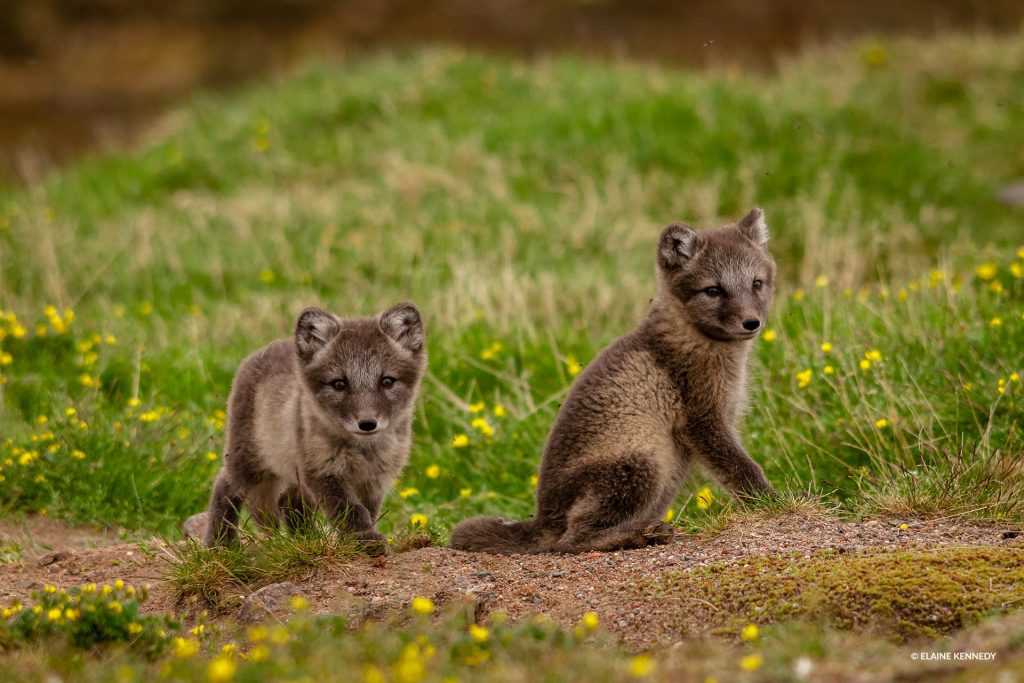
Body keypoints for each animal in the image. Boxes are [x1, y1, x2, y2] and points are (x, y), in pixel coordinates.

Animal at [192, 302, 426, 551]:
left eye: (387, 381)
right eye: (339, 384)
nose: (367, 423)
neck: (363, 452)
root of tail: (266, 349)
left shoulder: (374, 481)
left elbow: (368, 511)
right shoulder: (321, 470)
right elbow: (349, 510)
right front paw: (365, 540)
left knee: (288, 502)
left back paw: (304, 540)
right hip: (249, 461)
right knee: (224, 486)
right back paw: (219, 544)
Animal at [450, 208, 775, 554]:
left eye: (757, 283)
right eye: (713, 290)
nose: (752, 322)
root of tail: (544, 521)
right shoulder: (702, 420)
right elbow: (743, 468)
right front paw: (773, 503)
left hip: (666, 475)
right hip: (641, 463)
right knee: (572, 541)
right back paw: (641, 535)